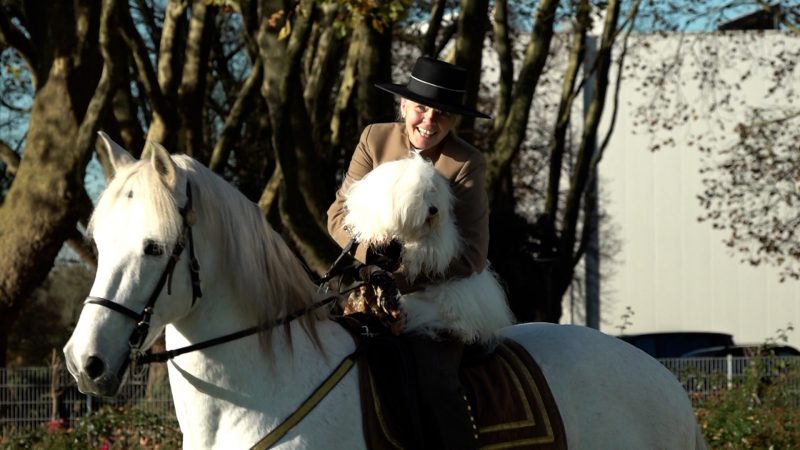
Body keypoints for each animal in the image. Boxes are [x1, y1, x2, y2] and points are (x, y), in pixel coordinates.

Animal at [342, 153, 512, 342]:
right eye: (419, 194)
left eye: (433, 191)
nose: (434, 210)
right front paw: (380, 238)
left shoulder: (440, 240)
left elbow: (428, 247)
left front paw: (412, 258)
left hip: (453, 294)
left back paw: (459, 330)